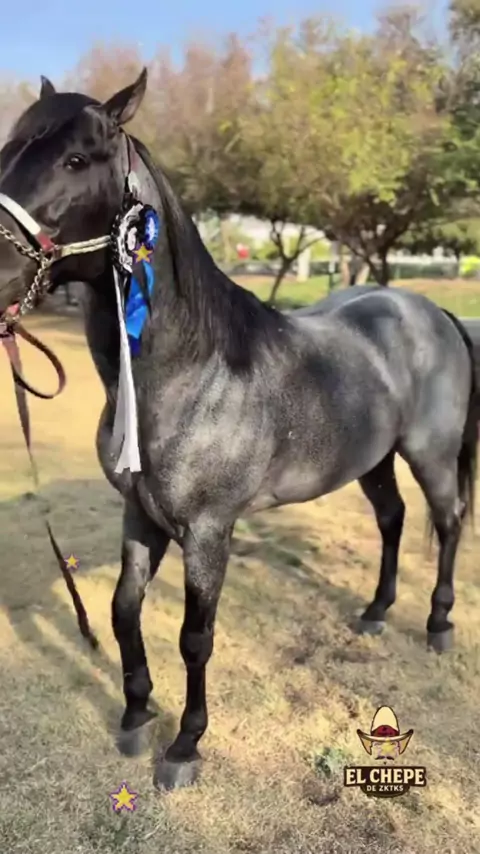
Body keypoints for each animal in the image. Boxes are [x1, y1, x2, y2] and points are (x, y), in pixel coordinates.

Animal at [0, 69, 476, 791]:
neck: (191, 371)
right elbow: (122, 609)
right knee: (393, 520)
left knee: (446, 524)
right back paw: (374, 613)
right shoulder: (139, 515)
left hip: (431, 453)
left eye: (77, 160)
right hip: (373, 459)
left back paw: (438, 624)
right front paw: (136, 715)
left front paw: (184, 747)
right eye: (8, 149)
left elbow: (195, 637)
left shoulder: (207, 530)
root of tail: (434, 311)